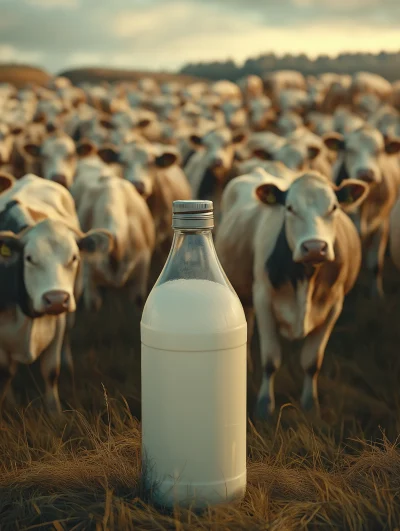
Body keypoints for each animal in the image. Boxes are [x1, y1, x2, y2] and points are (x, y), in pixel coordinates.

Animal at [216, 170, 368, 420]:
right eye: (289, 207)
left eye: (334, 207)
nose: (315, 247)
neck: (305, 277)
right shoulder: (263, 298)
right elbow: (271, 360)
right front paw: (264, 405)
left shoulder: (334, 305)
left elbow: (312, 362)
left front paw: (311, 405)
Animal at [324, 125, 400, 300]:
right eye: (349, 150)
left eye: (379, 150)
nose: (365, 173)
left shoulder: (381, 224)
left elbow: (376, 264)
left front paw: (377, 294)